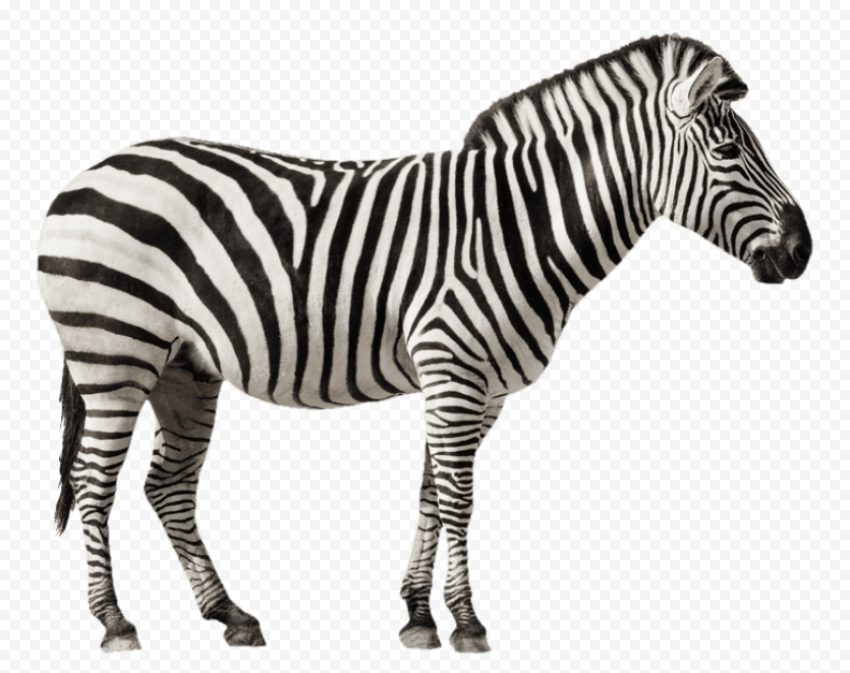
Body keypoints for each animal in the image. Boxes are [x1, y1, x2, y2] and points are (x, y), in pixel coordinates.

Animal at [38, 34, 811, 653]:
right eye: (728, 150)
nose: (804, 251)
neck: (519, 226)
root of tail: (85, 174)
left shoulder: (479, 386)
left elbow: (432, 493)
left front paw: (417, 615)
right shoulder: (454, 366)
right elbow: (459, 497)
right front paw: (466, 621)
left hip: (184, 367)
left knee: (167, 485)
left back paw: (229, 612)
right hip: (114, 354)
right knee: (95, 482)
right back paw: (114, 621)